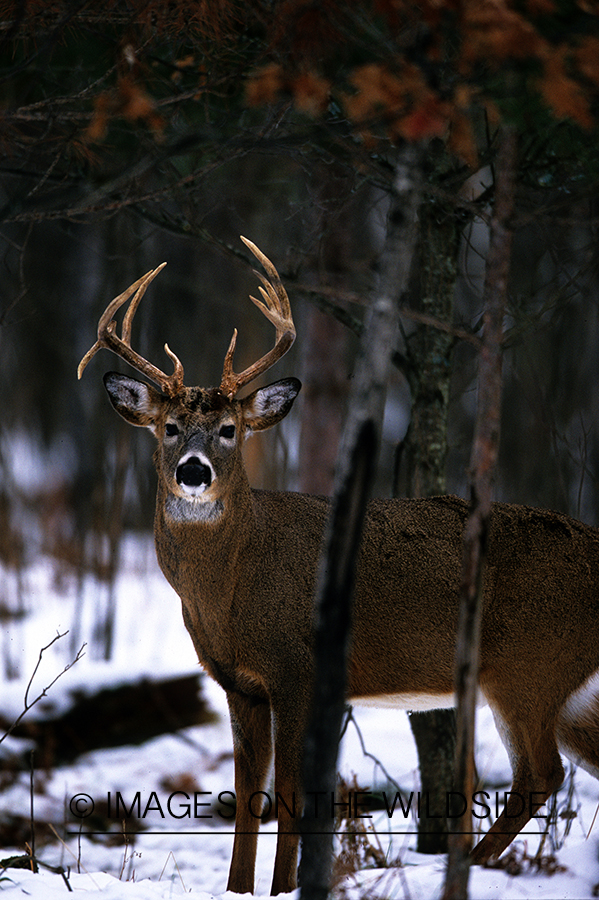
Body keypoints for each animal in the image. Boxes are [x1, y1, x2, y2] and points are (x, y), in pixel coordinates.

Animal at [78, 237, 599, 895]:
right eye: (169, 427)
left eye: (230, 429)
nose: (194, 470)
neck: (233, 587)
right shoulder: (239, 684)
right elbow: (249, 794)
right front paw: (240, 888)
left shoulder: (299, 669)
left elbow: (292, 793)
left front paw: (284, 887)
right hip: (569, 688)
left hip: (529, 667)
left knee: (540, 773)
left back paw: (468, 869)